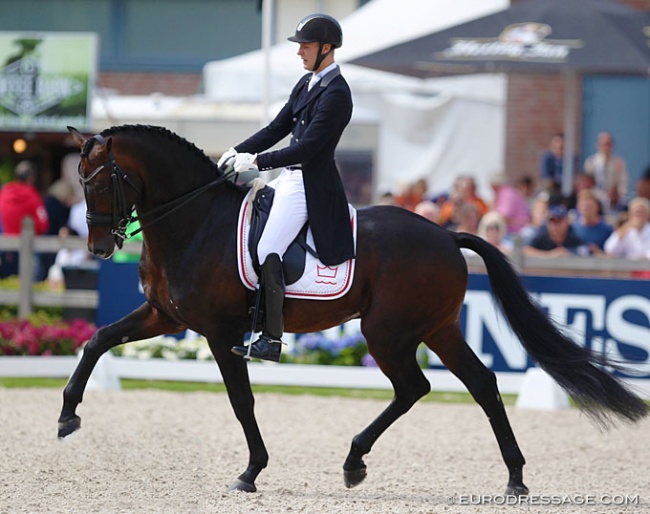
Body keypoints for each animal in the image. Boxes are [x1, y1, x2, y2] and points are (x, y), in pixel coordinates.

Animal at [59, 123, 644, 492]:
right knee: (480, 384)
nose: (99, 248)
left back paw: (354, 461)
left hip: (387, 332)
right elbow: (97, 340)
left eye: (103, 180)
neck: (195, 222)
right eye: (79, 182)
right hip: (439, 329)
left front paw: (251, 472)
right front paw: (67, 417)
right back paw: (515, 477)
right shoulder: (165, 316)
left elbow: (241, 402)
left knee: (414, 387)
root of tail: (447, 235)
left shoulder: (220, 333)